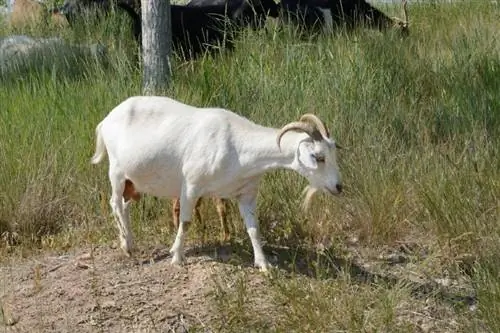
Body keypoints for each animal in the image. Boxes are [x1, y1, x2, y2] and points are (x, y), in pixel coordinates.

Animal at [90, 95, 342, 270]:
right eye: (318, 157)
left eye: (333, 152)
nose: (339, 187)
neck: (237, 146)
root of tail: (105, 120)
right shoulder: (191, 186)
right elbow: (186, 222)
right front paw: (177, 257)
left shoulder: (246, 194)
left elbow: (253, 229)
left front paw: (263, 264)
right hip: (117, 172)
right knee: (114, 204)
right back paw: (127, 246)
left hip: (134, 183)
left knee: (124, 206)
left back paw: (129, 241)